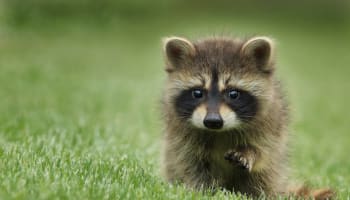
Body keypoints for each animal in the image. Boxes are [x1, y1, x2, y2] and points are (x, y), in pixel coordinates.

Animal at [161, 35, 334, 198]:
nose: (213, 121)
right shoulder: (181, 136)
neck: (220, 132)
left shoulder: (271, 122)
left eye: (233, 94)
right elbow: (190, 163)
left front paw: (249, 153)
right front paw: (203, 190)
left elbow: (264, 151)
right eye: (197, 93)